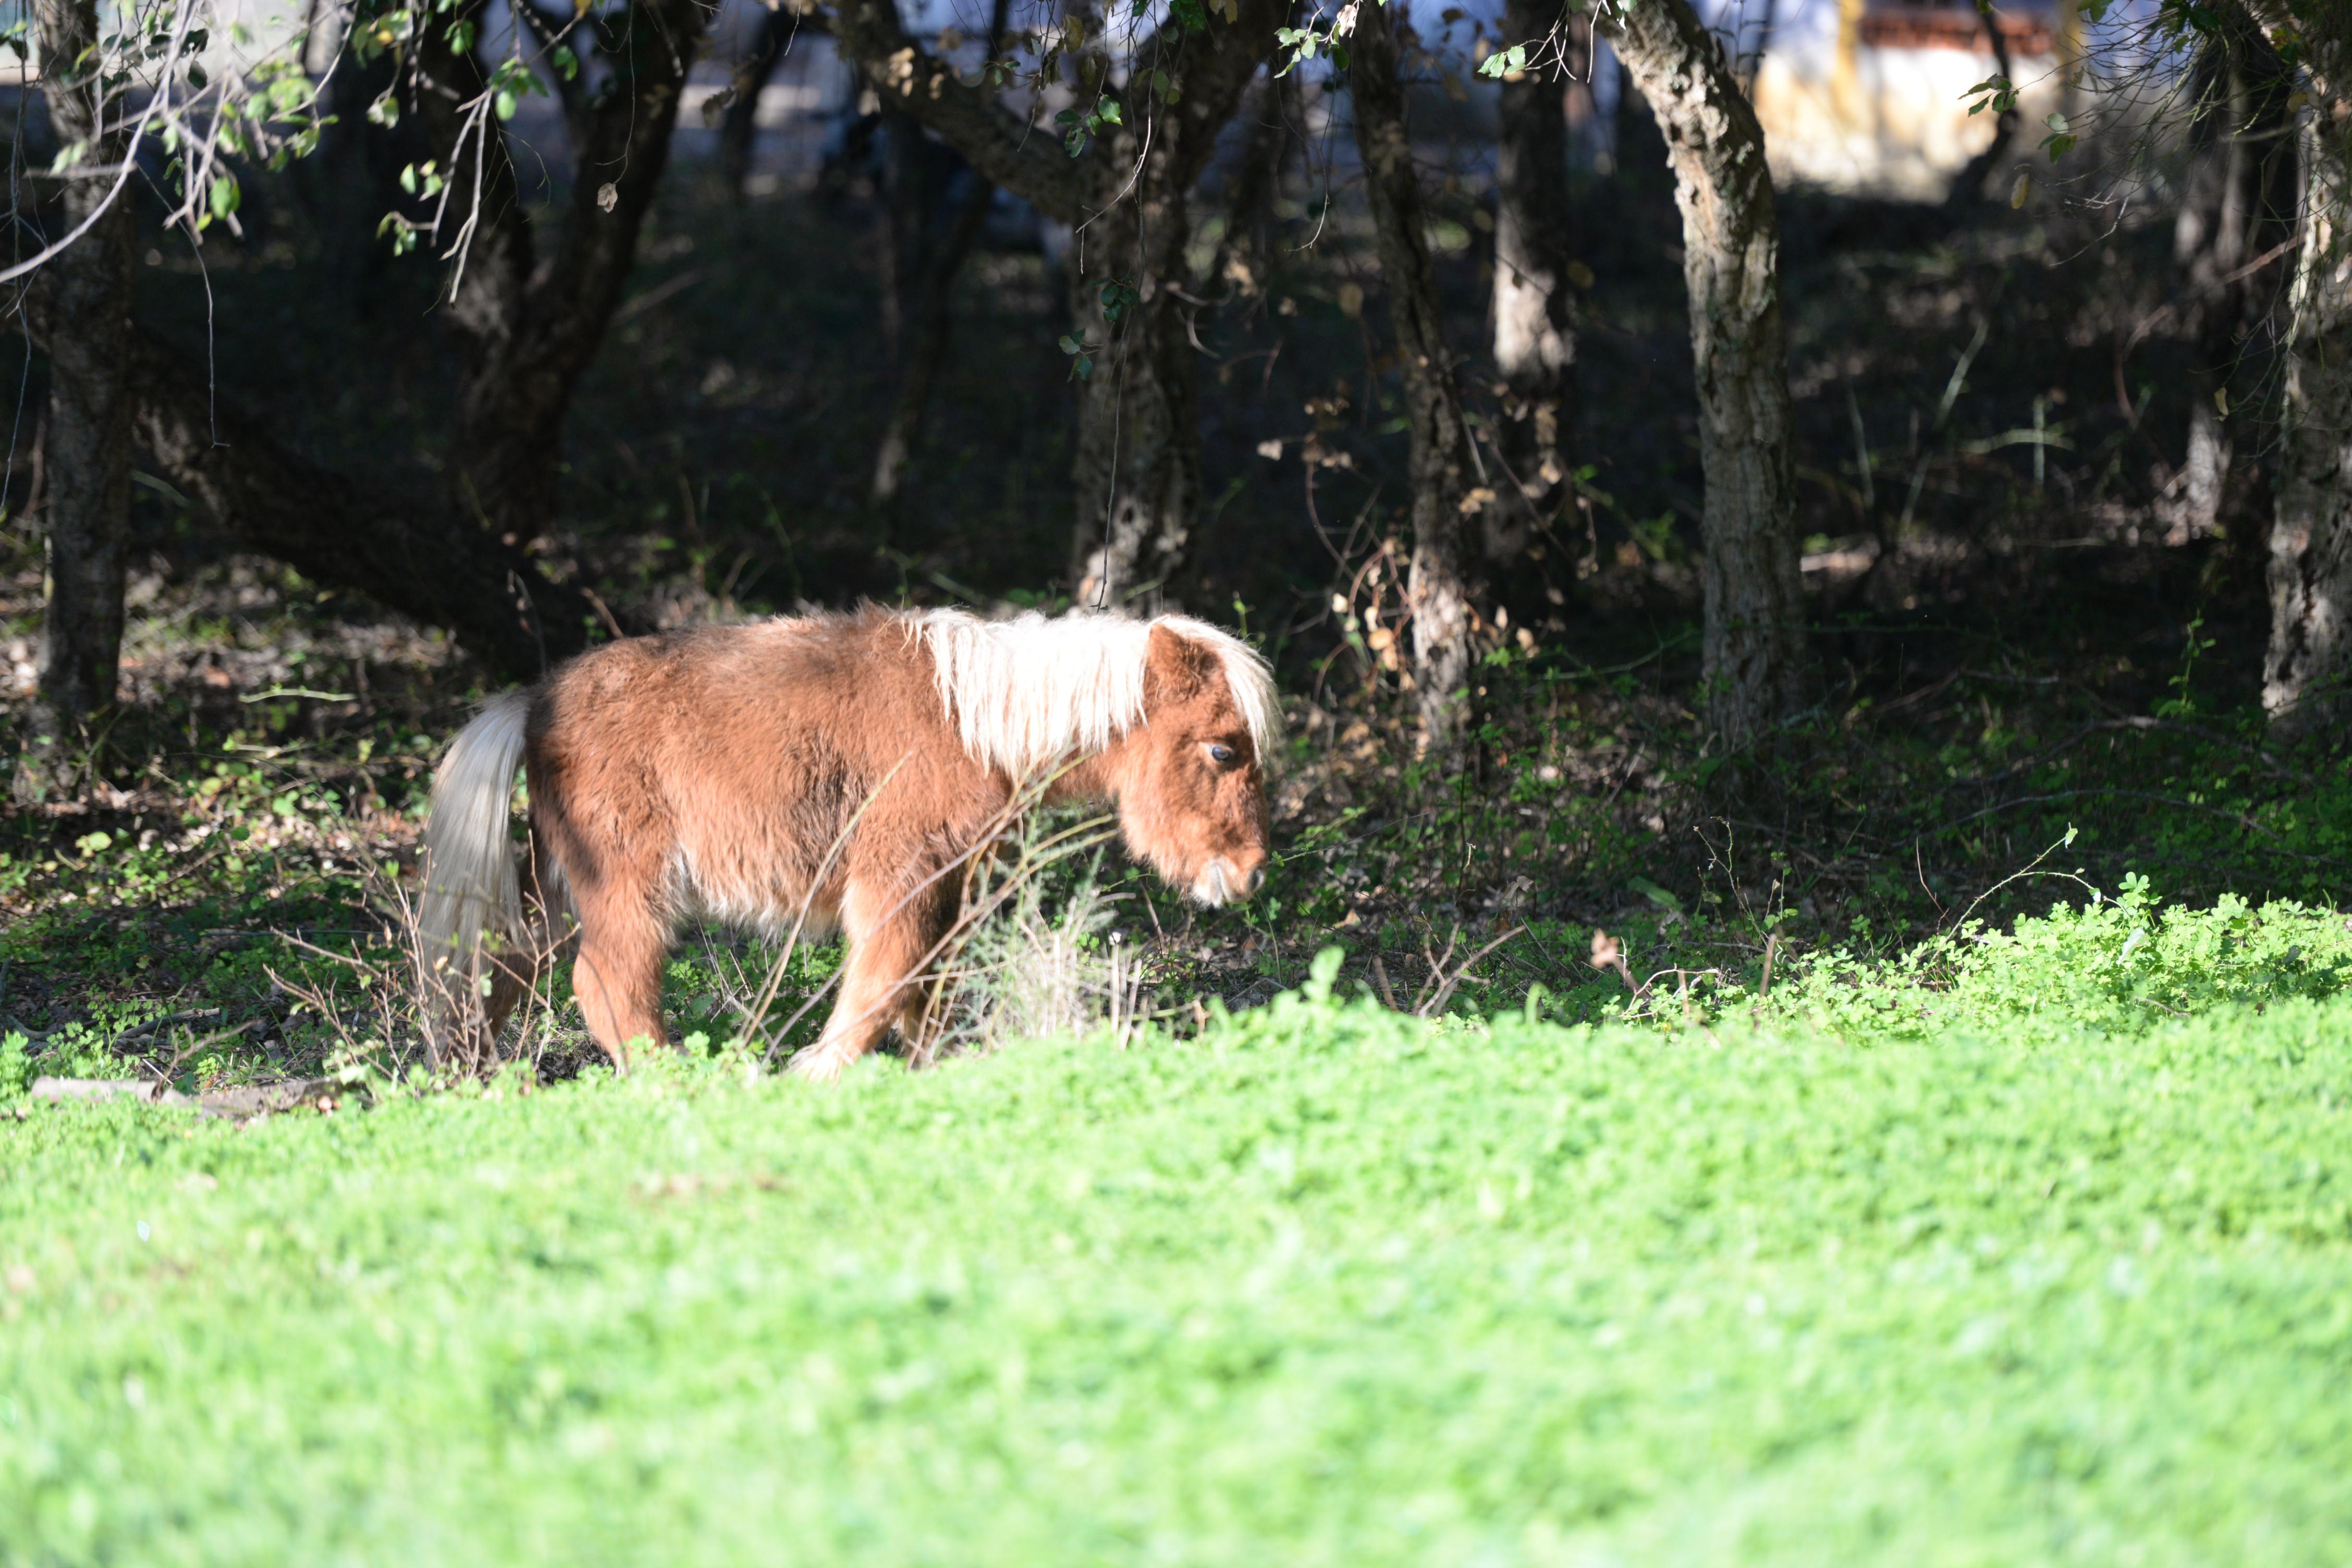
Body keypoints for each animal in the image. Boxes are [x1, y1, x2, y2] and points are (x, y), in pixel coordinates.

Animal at [414, 606, 1279, 1081]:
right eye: (1222, 749)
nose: (1247, 874)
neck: (971, 725)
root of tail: (536, 700)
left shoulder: (949, 885)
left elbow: (926, 994)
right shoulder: (899, 878)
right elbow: (881, 985)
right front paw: (815, 1075)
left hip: (557, 889)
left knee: (501, 971)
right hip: (626, 888)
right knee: (607, 986)